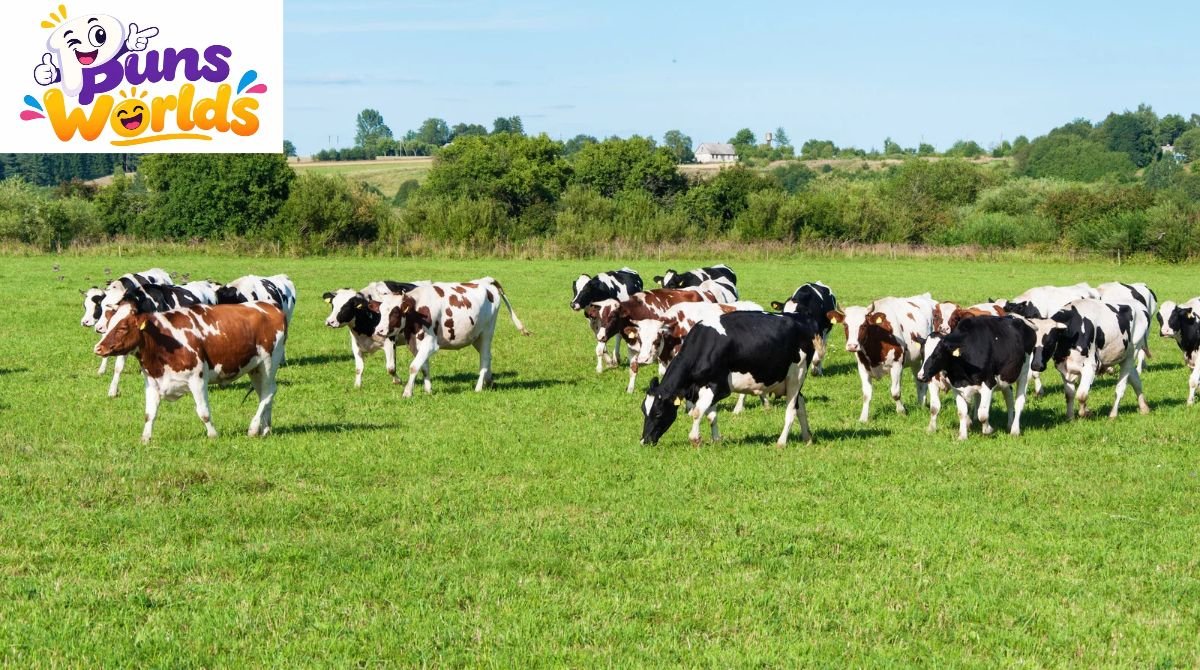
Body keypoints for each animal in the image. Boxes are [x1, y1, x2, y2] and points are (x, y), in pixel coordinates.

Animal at [94, 297, 288, 443]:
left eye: (123, 327)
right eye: (109, 324)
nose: (98, 348)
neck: (162, 342)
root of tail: (271, 306)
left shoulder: (198, 379)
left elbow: (203, 412)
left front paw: (213, 435)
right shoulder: (152, 382)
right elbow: (149, 414)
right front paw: (145, 439)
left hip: (269, 362)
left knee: (269, 392)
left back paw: (254, 428)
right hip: (255, 368)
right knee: (263, 394)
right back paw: (266, 429)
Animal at [374, 278, 531, 397]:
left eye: (395, 312)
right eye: (380, 311)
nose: (379, 330)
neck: (417, 310)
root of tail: (486, 280)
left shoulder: (430, 344)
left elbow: (414, 367)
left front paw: (407, 392)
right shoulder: (415, 344)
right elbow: (424, 367)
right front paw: (428, 390)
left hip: (487, 332)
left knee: (485, 358)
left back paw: (478, 387)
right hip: (476, 336)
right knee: (488, 356)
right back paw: (489, 381)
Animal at [640, 311, 819, 447]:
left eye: (658, 413)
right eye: (643, 411)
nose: (644, 441)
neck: (705, 344)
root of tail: (801, 321)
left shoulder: (718, 387)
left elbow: (697, 413)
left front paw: (695, 439)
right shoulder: (704, 387)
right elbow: (711, 416)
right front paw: (716, 440)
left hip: (797, 375)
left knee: (791, 410)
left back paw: (781, 442)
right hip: (787, 382)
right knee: (801, 405)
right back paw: (807, 438)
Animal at [829, 293, 937, 423]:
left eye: (863, 325)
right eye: (845, 325)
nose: (852, 346)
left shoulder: (897, 365)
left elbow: (895, 392)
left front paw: (901, 412)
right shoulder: (863, 368)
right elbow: (866, 394)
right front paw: (863, 418)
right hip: (915, 361)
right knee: (919, 381)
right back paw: (921, 404)